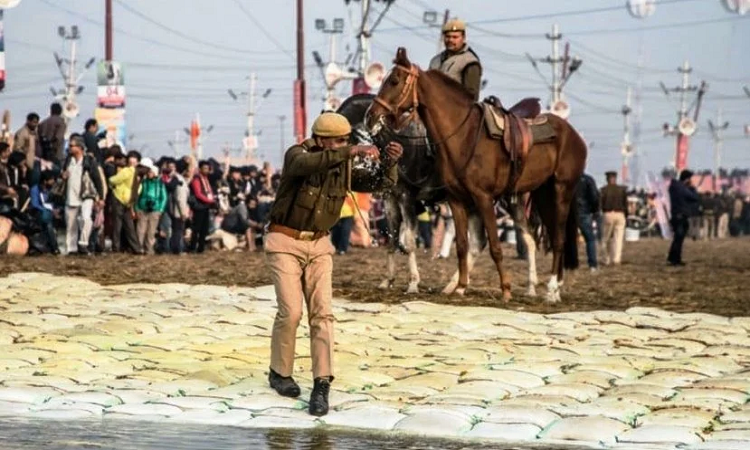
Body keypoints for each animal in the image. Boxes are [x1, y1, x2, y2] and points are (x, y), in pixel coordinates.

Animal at [368, 47, 592, 302]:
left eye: (394, 80)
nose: (371, 116)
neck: (463, 136)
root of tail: (574, 136)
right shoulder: (455, 200)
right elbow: (461, 245)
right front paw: (460, 287)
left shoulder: (480, 199)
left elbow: (494, 245)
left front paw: (505, 289)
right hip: (539, 195)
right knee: (533, 238)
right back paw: (537, 288)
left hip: (561, 190)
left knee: (558, 238)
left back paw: (552, 289)